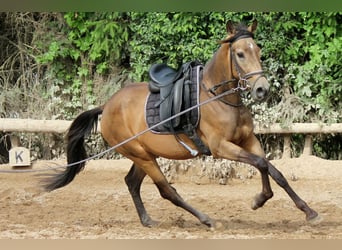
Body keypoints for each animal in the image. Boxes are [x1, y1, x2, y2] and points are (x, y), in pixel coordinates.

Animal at [42, 21, 320, 229]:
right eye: (240, 54)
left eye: (259, 52)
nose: (262, 90)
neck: (219, 98)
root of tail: (107, 106)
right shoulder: (221, 147)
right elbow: (262, 164)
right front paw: (260, 199)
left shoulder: (248, 140)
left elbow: (273, 170)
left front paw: (305, 210)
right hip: (141, 155)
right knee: (167, 190)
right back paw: (207, 220)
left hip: (144, 154)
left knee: (132, 183)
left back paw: (147, 220)